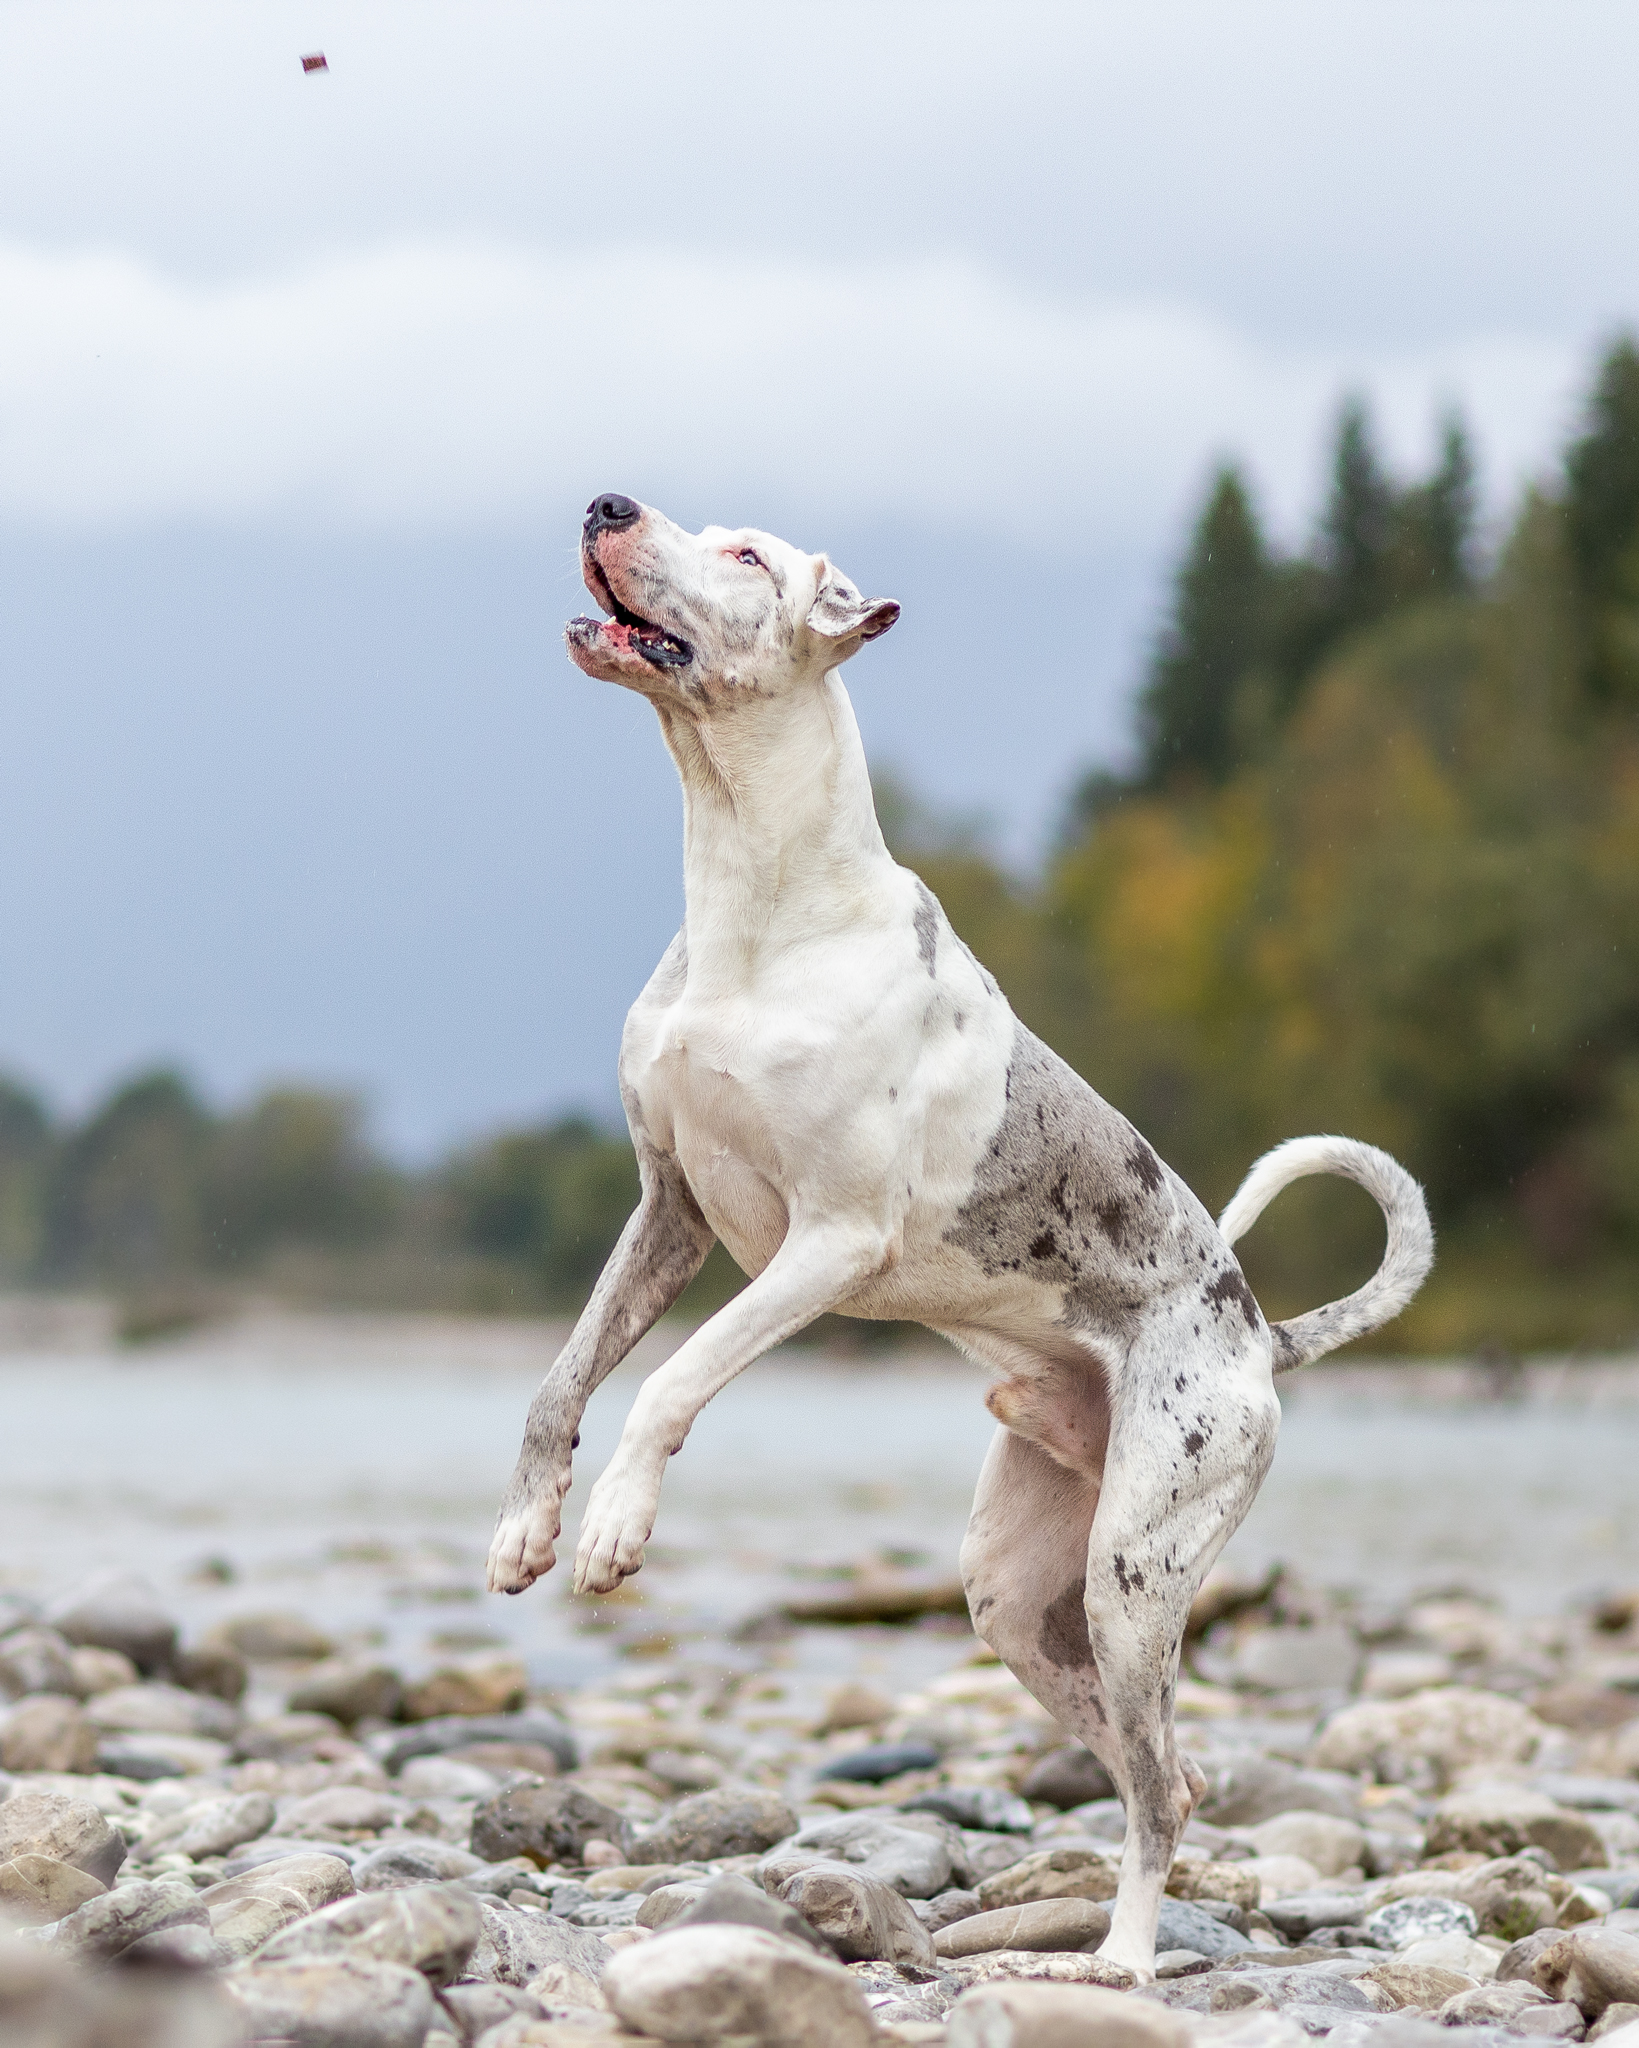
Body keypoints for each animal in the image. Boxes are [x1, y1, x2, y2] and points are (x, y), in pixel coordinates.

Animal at [487, 487, 1434, 1974]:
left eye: (746, 555)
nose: (606, 501)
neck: (753, 908)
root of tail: (1260, 1336)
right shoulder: (667, 1212)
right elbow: (563, 1376)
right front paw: (527, 1526)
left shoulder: (823, 1246)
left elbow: (669, 1383)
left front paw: (614, 1528)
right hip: (1016, 1591)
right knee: (1170, 1768)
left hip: (1132, 1572)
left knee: (1161, 1785)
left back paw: (1119, 1960)